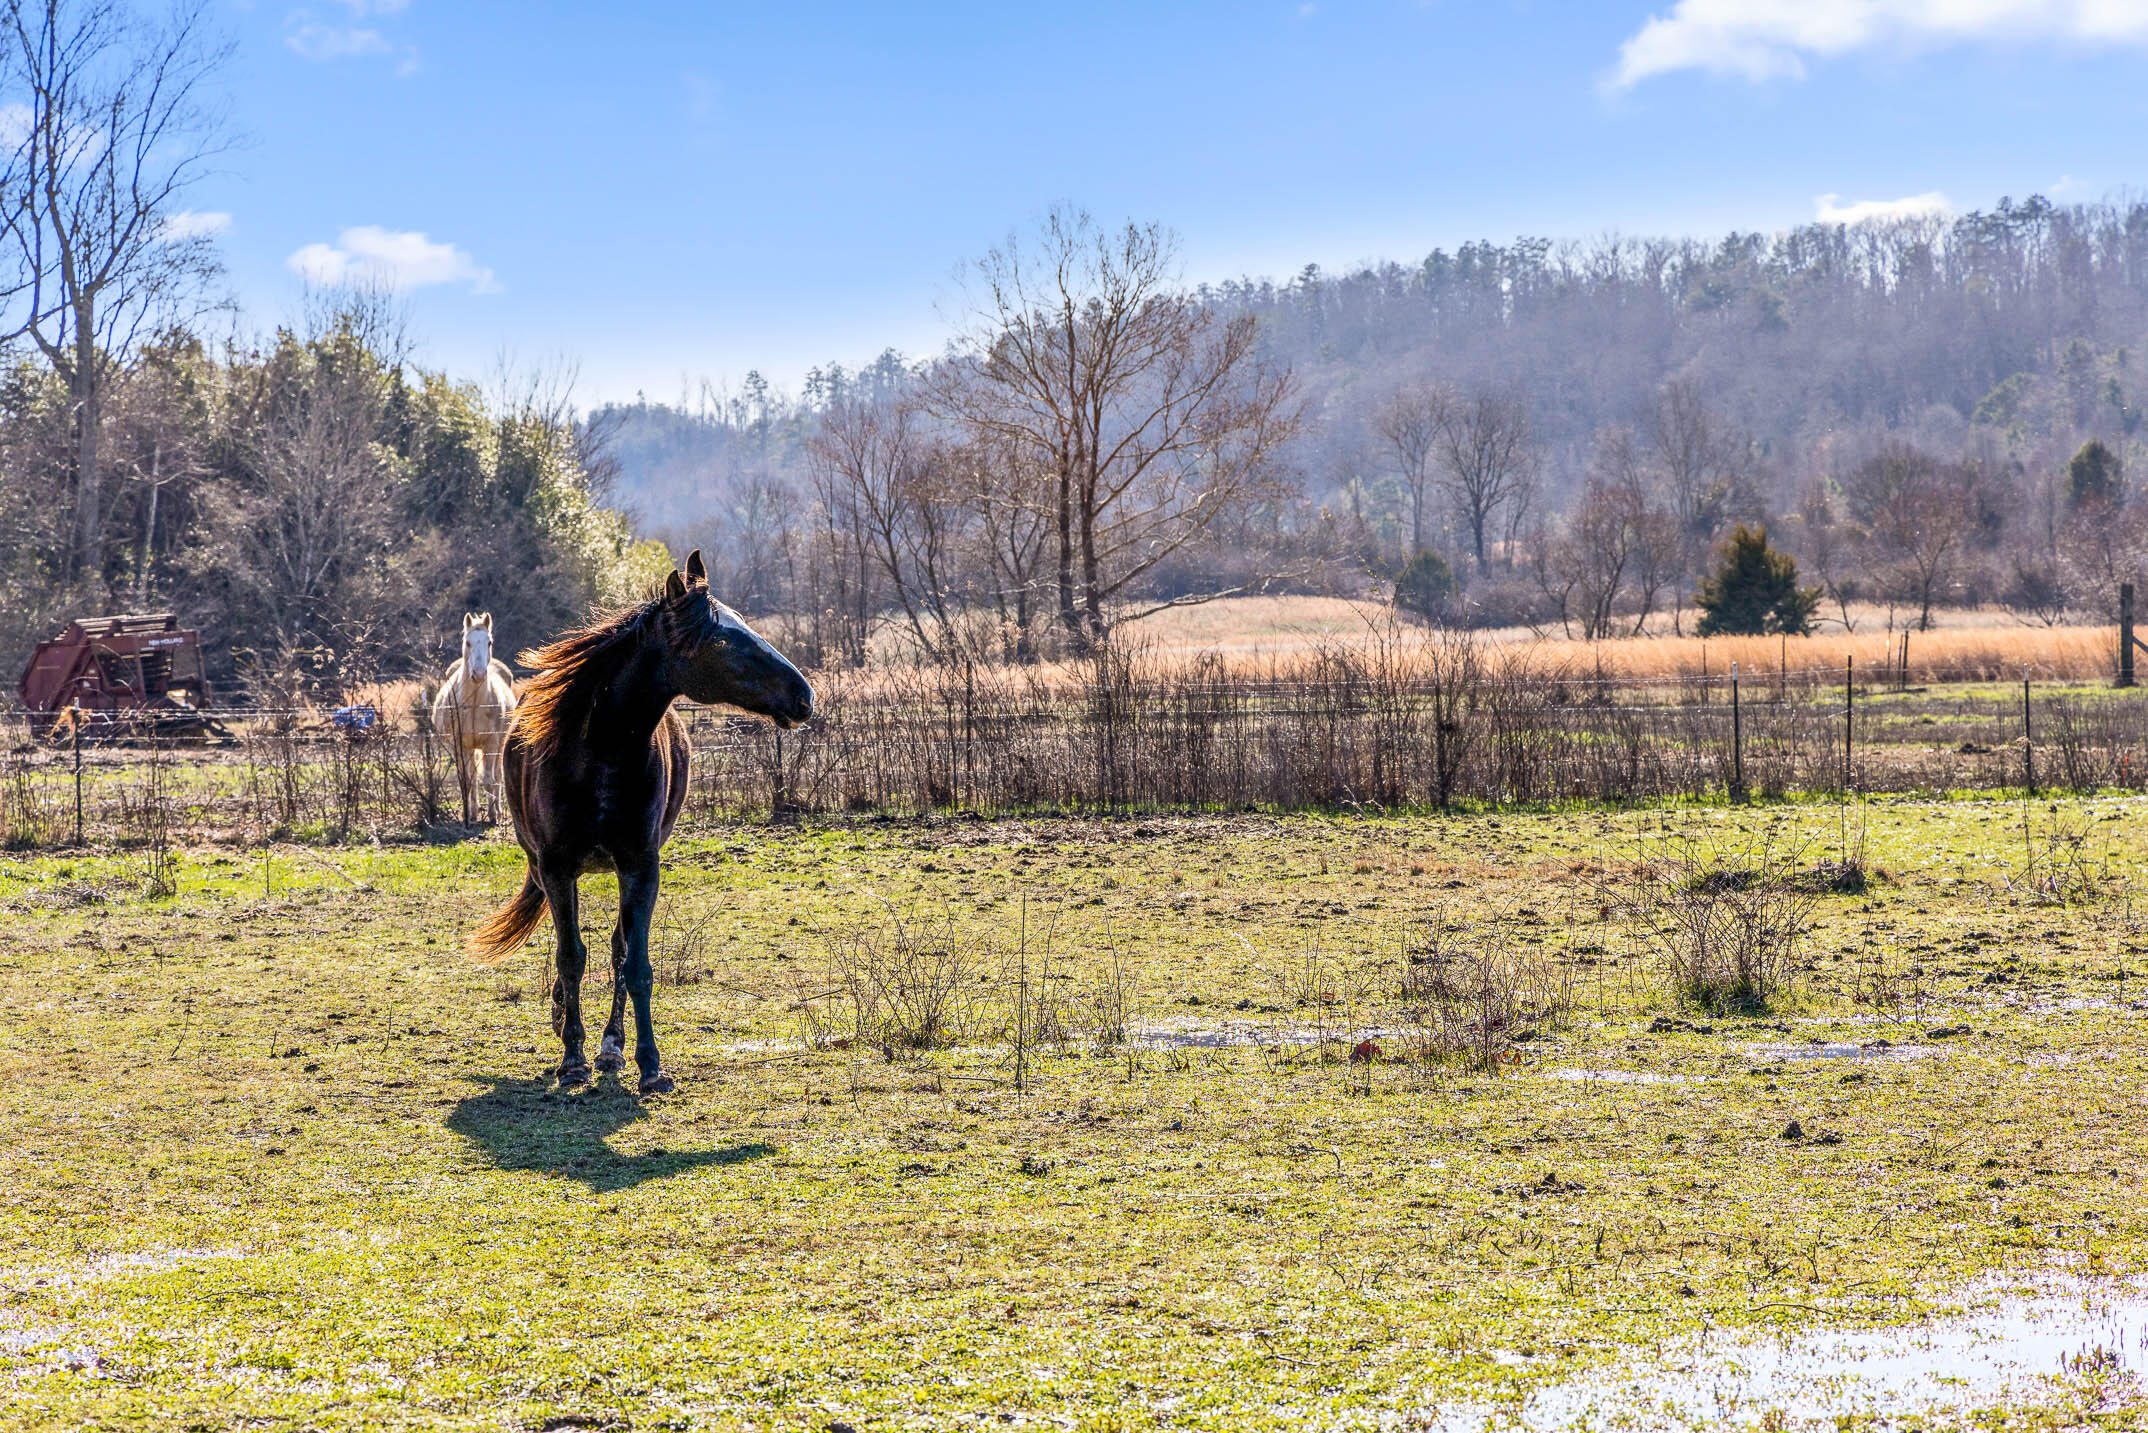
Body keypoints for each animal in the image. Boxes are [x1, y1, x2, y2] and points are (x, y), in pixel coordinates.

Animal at [431, 612, 519, 824]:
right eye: (468, 642)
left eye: (489, 642)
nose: (479, 674)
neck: (473, 705)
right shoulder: (461, 744)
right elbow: (468, 779)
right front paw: (468, 815)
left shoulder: (491, 743)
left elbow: (489, 780)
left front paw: (493, 816)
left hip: (499, 744)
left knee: (497, 775)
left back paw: (498, 810)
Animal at [467, 550, 814, 1094]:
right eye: (724, 638)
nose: (804, 695)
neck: (596, 750)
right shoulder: (557, 867)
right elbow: (571, 957)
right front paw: (572, 1058)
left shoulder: (641, 867)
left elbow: (635, 965)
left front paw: (648, 1063)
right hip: (547, 868)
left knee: (616, 949)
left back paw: (611, 1047)